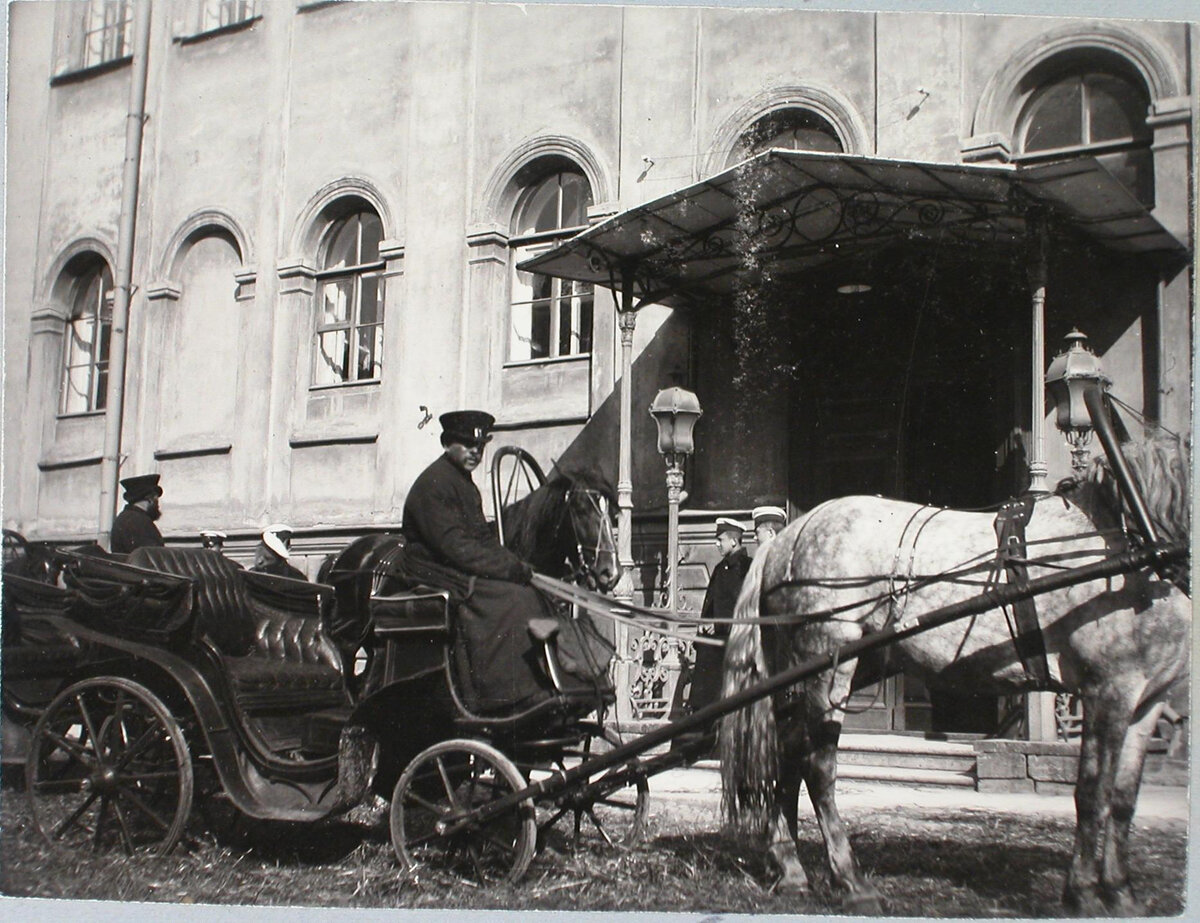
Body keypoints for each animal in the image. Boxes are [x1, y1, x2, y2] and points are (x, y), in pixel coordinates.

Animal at [715, 434, 1185, 912]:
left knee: (787, 752)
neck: (1128, 539)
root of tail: (788, 536)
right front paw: (1084, 893)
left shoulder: (1146, 701)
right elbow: (1093, 793)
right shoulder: (1107, 690)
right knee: (818, 764)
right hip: (830, 659)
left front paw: (1122, 892)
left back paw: (791, 869)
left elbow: (1124, 798)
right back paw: (851, 880)